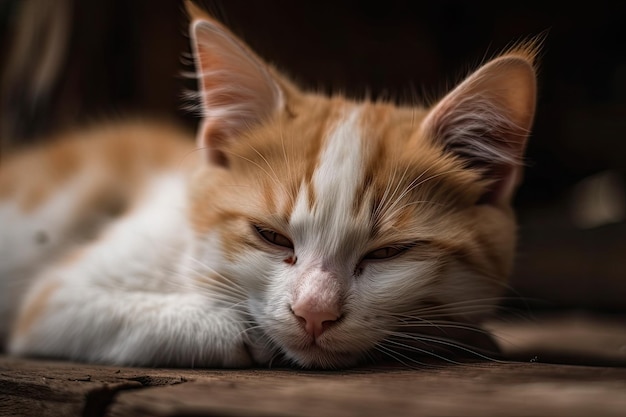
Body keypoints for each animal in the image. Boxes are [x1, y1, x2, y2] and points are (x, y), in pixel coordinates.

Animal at [0, 4, 536, 368]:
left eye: (390, 252)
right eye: (271, 236)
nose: (314, 313)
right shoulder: (58, 300)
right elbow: (64, 311)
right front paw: (239, 330)